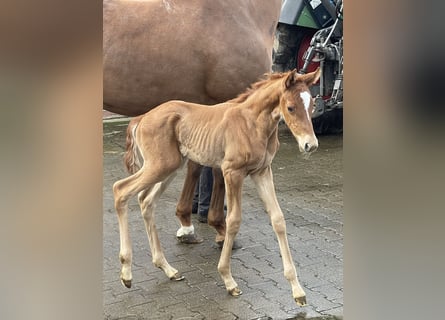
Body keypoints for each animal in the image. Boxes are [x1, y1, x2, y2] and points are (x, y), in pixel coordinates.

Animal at [111, 68, 320, 304]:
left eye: (312, 104)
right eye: (291, 107)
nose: (310, 145)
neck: (252, 123)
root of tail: (142, 117)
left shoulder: (262, 172)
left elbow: (278, 219)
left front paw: (297, 290)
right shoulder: (232, 172)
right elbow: (234, 221)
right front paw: (228, 280)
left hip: (170, 166)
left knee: (146, 201)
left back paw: (167, 269)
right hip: (159, 165)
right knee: (120, 190)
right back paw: (126, 273)